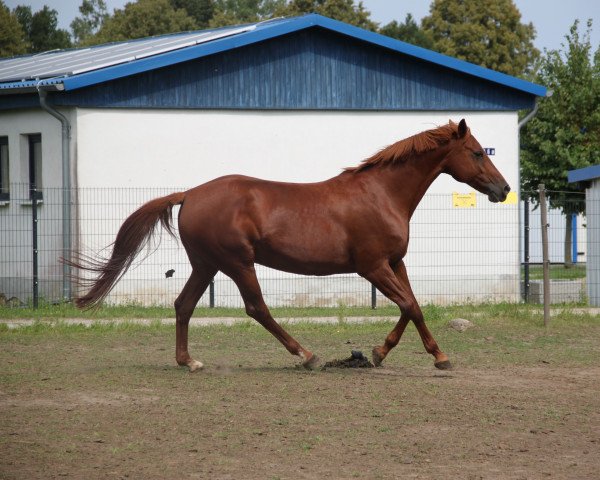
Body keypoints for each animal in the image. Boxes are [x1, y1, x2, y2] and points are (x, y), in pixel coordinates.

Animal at [72, 119, 508, 372]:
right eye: (475, 153)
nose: (503, 189)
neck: (381, 194)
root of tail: (190, 193)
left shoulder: (395, 262)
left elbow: (412, 306)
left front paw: (394, 353)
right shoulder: (372, 267)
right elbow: (410, 305)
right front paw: (430, 357)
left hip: (206, 264)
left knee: (184, 305)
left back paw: (188, 361)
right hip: (237, 263)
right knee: (257, 308)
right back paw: (305, 355)